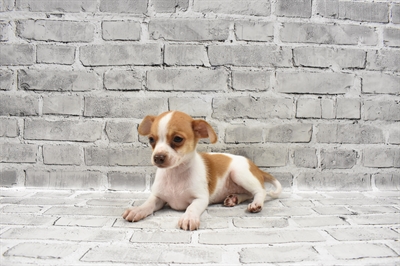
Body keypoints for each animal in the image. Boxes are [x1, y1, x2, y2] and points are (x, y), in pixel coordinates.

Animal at [122, 110, 282, 231]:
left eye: (177, 139)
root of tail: (255, 167)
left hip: (239, 174)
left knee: (260, 191)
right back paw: (234, 198)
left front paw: (188, 217)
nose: (158, 157)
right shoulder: (158, 197)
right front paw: (137, 210)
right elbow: (148, 204)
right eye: (151, 140)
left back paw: (256, 204)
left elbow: (191, 207)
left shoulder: (200, 199)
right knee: (248, 194)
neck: (176, 174)